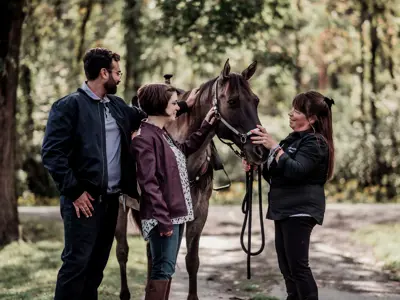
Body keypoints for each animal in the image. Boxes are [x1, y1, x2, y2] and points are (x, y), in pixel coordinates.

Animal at [114, 59, 268, 300]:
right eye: (233, 101)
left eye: (256, 100)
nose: (261, 150)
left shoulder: (198, 213)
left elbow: (191, 261)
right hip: (121, 209)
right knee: (123, 251)